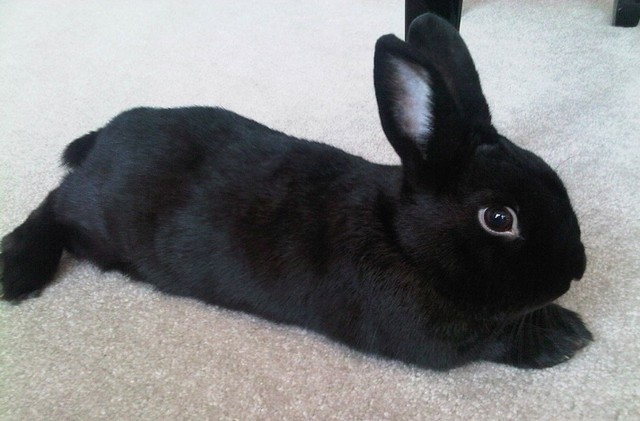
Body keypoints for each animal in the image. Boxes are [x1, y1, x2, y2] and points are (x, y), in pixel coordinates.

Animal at [1, 14, 592, 370]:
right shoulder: (432, 340)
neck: (401, 240)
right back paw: (18, 270)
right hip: (97, 220)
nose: (576, 270)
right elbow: (493, 338)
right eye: (499, 218)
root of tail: (101, 140)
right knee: (54, 204)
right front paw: (566, 336)